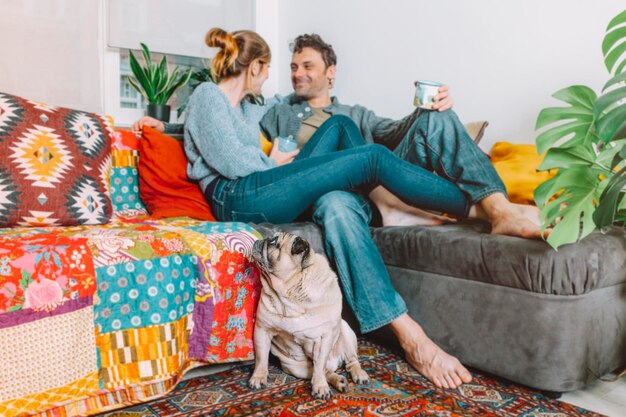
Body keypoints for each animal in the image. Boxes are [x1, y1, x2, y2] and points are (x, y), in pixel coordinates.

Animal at [247, 232, 368, 398]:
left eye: (273, 242)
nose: (260, 240)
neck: (289, 293)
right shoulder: (262, 330)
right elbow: (261, 358)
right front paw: (258, 377)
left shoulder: (323, 339)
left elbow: (319, 365)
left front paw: (320, 386)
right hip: (296, 368)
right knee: (326, 371)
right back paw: (339, 381)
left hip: (346, 333)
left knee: (349, 361)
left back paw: (358, 374)